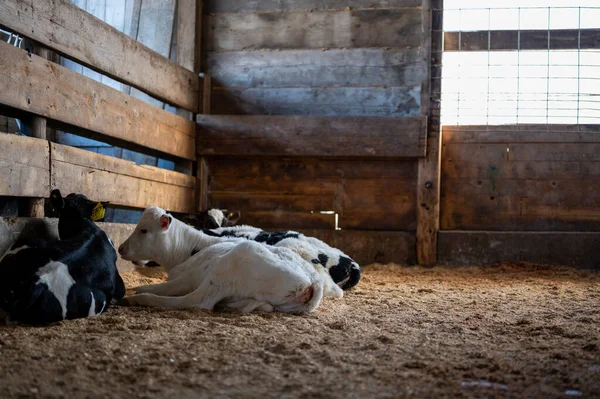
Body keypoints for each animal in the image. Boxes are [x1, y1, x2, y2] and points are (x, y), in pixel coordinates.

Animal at [119, 208, 330, 314]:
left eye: (144, 230)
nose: (120, 248)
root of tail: (314, 282)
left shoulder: (189, 277)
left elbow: (164, 287)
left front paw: (142, 291)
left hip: (230, 265)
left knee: (197, 301)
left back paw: (137, 299)